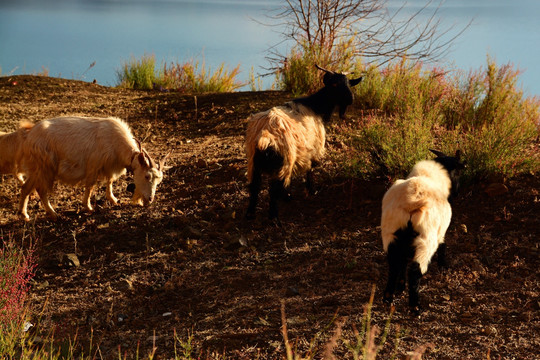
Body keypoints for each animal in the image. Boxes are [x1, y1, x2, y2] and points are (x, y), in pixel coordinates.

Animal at [18, 116, 169, 221]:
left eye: (159, 181)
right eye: (146, 176)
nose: (150, 199)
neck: (115, 142)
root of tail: (29, 136)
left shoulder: (109, 166)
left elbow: (110, 181)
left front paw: (114, 200)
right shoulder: (93, 165)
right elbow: (90, 186)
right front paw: (89, 207)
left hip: (36, 169)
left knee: (26, 187)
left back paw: (24, 215)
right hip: (45, 167)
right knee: (41, 189)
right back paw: (53, 214)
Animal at [245, 64, 362, 222]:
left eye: (349, 83)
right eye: (334, 84)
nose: (350, 99)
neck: (315, 107)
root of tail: (265, 135)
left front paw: (289, 196)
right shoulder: (313, 148)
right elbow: (310, 169)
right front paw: (312, 190)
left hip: (255, 162)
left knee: (255, 187)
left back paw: (250, 214)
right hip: (284, 159)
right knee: (273, 189)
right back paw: (274, 218)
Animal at [380, 149, 464, 316]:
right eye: (458, 172)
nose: (458, 193)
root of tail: (411, 203)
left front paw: (400, 287)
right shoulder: (440, 232)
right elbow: (443, 246)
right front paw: (444, 265)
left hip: (391, 236)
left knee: (394, 265)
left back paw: (388, 298)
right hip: (425, 242)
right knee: (414, 271)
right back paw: (415, 307)